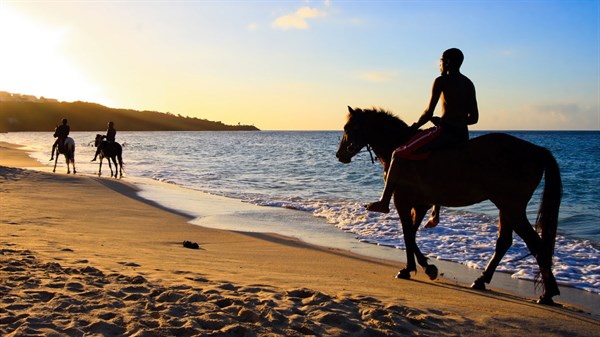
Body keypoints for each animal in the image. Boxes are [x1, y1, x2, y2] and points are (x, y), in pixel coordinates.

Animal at [338, 106, 564, 304]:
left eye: (348, 128)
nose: (340, 155)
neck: (399, 144)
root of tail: (536, 150)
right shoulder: (420, 205)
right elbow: (411, 234)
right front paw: (424, 267)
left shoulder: (403, 202)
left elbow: (407, 234)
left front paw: (414, 268)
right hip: (506, 208)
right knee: (504, 243)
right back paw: (482, 281)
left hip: (512, 207)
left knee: (535, 245)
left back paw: (548, 293)